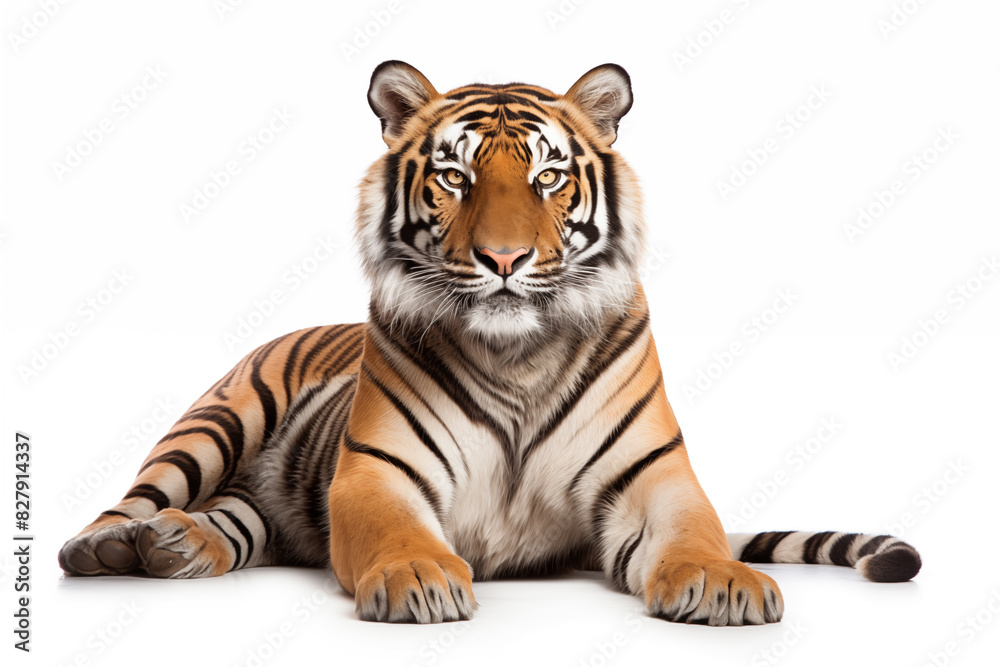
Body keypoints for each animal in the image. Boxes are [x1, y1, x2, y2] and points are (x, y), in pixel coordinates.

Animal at [58, 61, 921, 626]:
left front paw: (722, 582)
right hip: (221, 417)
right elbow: (397, 531)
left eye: (547, 178)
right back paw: (111, 549)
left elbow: (695, 530)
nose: (503, 259)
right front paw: (418, 576)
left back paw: (178, 544)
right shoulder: (376, 472)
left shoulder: (654, 474)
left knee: (242, 521)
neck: (520, 356)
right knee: (137, 497)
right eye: (454, 178)